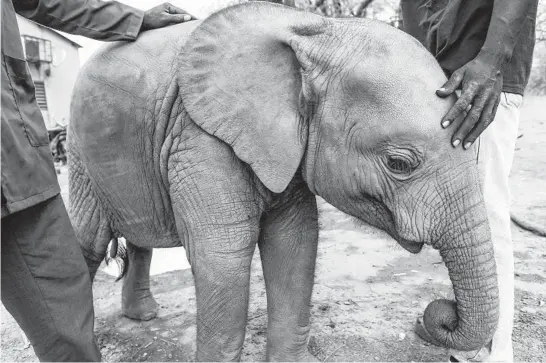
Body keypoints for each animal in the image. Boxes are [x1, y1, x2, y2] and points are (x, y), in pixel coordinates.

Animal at [69, 1, 498, 362]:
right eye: (399, 164)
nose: (439, 314)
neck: (317, 32)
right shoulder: (199, 136)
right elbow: (223, 257)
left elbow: (295, 240)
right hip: (79, 150)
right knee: (86, 241)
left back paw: (143, 316)